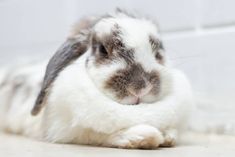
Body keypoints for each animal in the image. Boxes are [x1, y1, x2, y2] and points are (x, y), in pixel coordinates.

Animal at [0, 9, 194, 149]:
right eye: (102, 50)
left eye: (158, 53)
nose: (141, 87)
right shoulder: (70, 132)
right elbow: (99, 135)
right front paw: (144, 136)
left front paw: (168, 136)